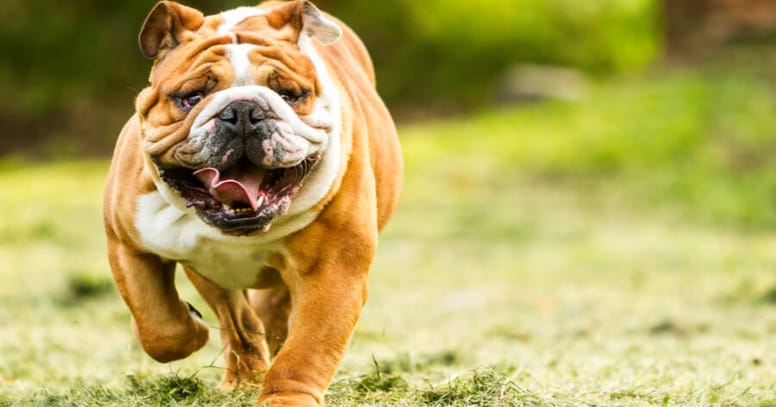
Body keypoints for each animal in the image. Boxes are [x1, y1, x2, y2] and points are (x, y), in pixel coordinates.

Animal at [101, 1, 400, 406]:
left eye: (289, 95)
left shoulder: (333, 271)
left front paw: (285, 398)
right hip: (210, 273)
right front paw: (192, 325)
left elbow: (308, 349)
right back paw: (242, 379)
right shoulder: (127, 244)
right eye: (192, 97)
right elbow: (159, 325)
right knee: (237, 320)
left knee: (266, 314)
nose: (242, 111)